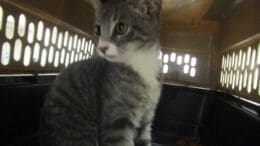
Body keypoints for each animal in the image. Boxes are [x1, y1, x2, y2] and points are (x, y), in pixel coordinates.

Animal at [40, 0, 162, 146]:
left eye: (121, 27)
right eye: (97, 30)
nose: (102, 47)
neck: (139, 60)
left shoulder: (146, 118)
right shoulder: (115, 121)